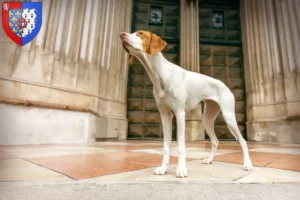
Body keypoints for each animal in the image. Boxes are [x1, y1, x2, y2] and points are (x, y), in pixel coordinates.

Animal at [120, 30, 253, 178]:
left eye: (140, 34)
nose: (121, 34)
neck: (160, 74)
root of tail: (225, 86)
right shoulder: (165, 116)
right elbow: (166, 147)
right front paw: (163, 168)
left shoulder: (179, 114)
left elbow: (181, 146)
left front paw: (181, 169)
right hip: (207, 120)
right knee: (215, 141)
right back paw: (209, 159)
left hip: (229, 117)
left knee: (243, 141)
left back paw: (247, 164)